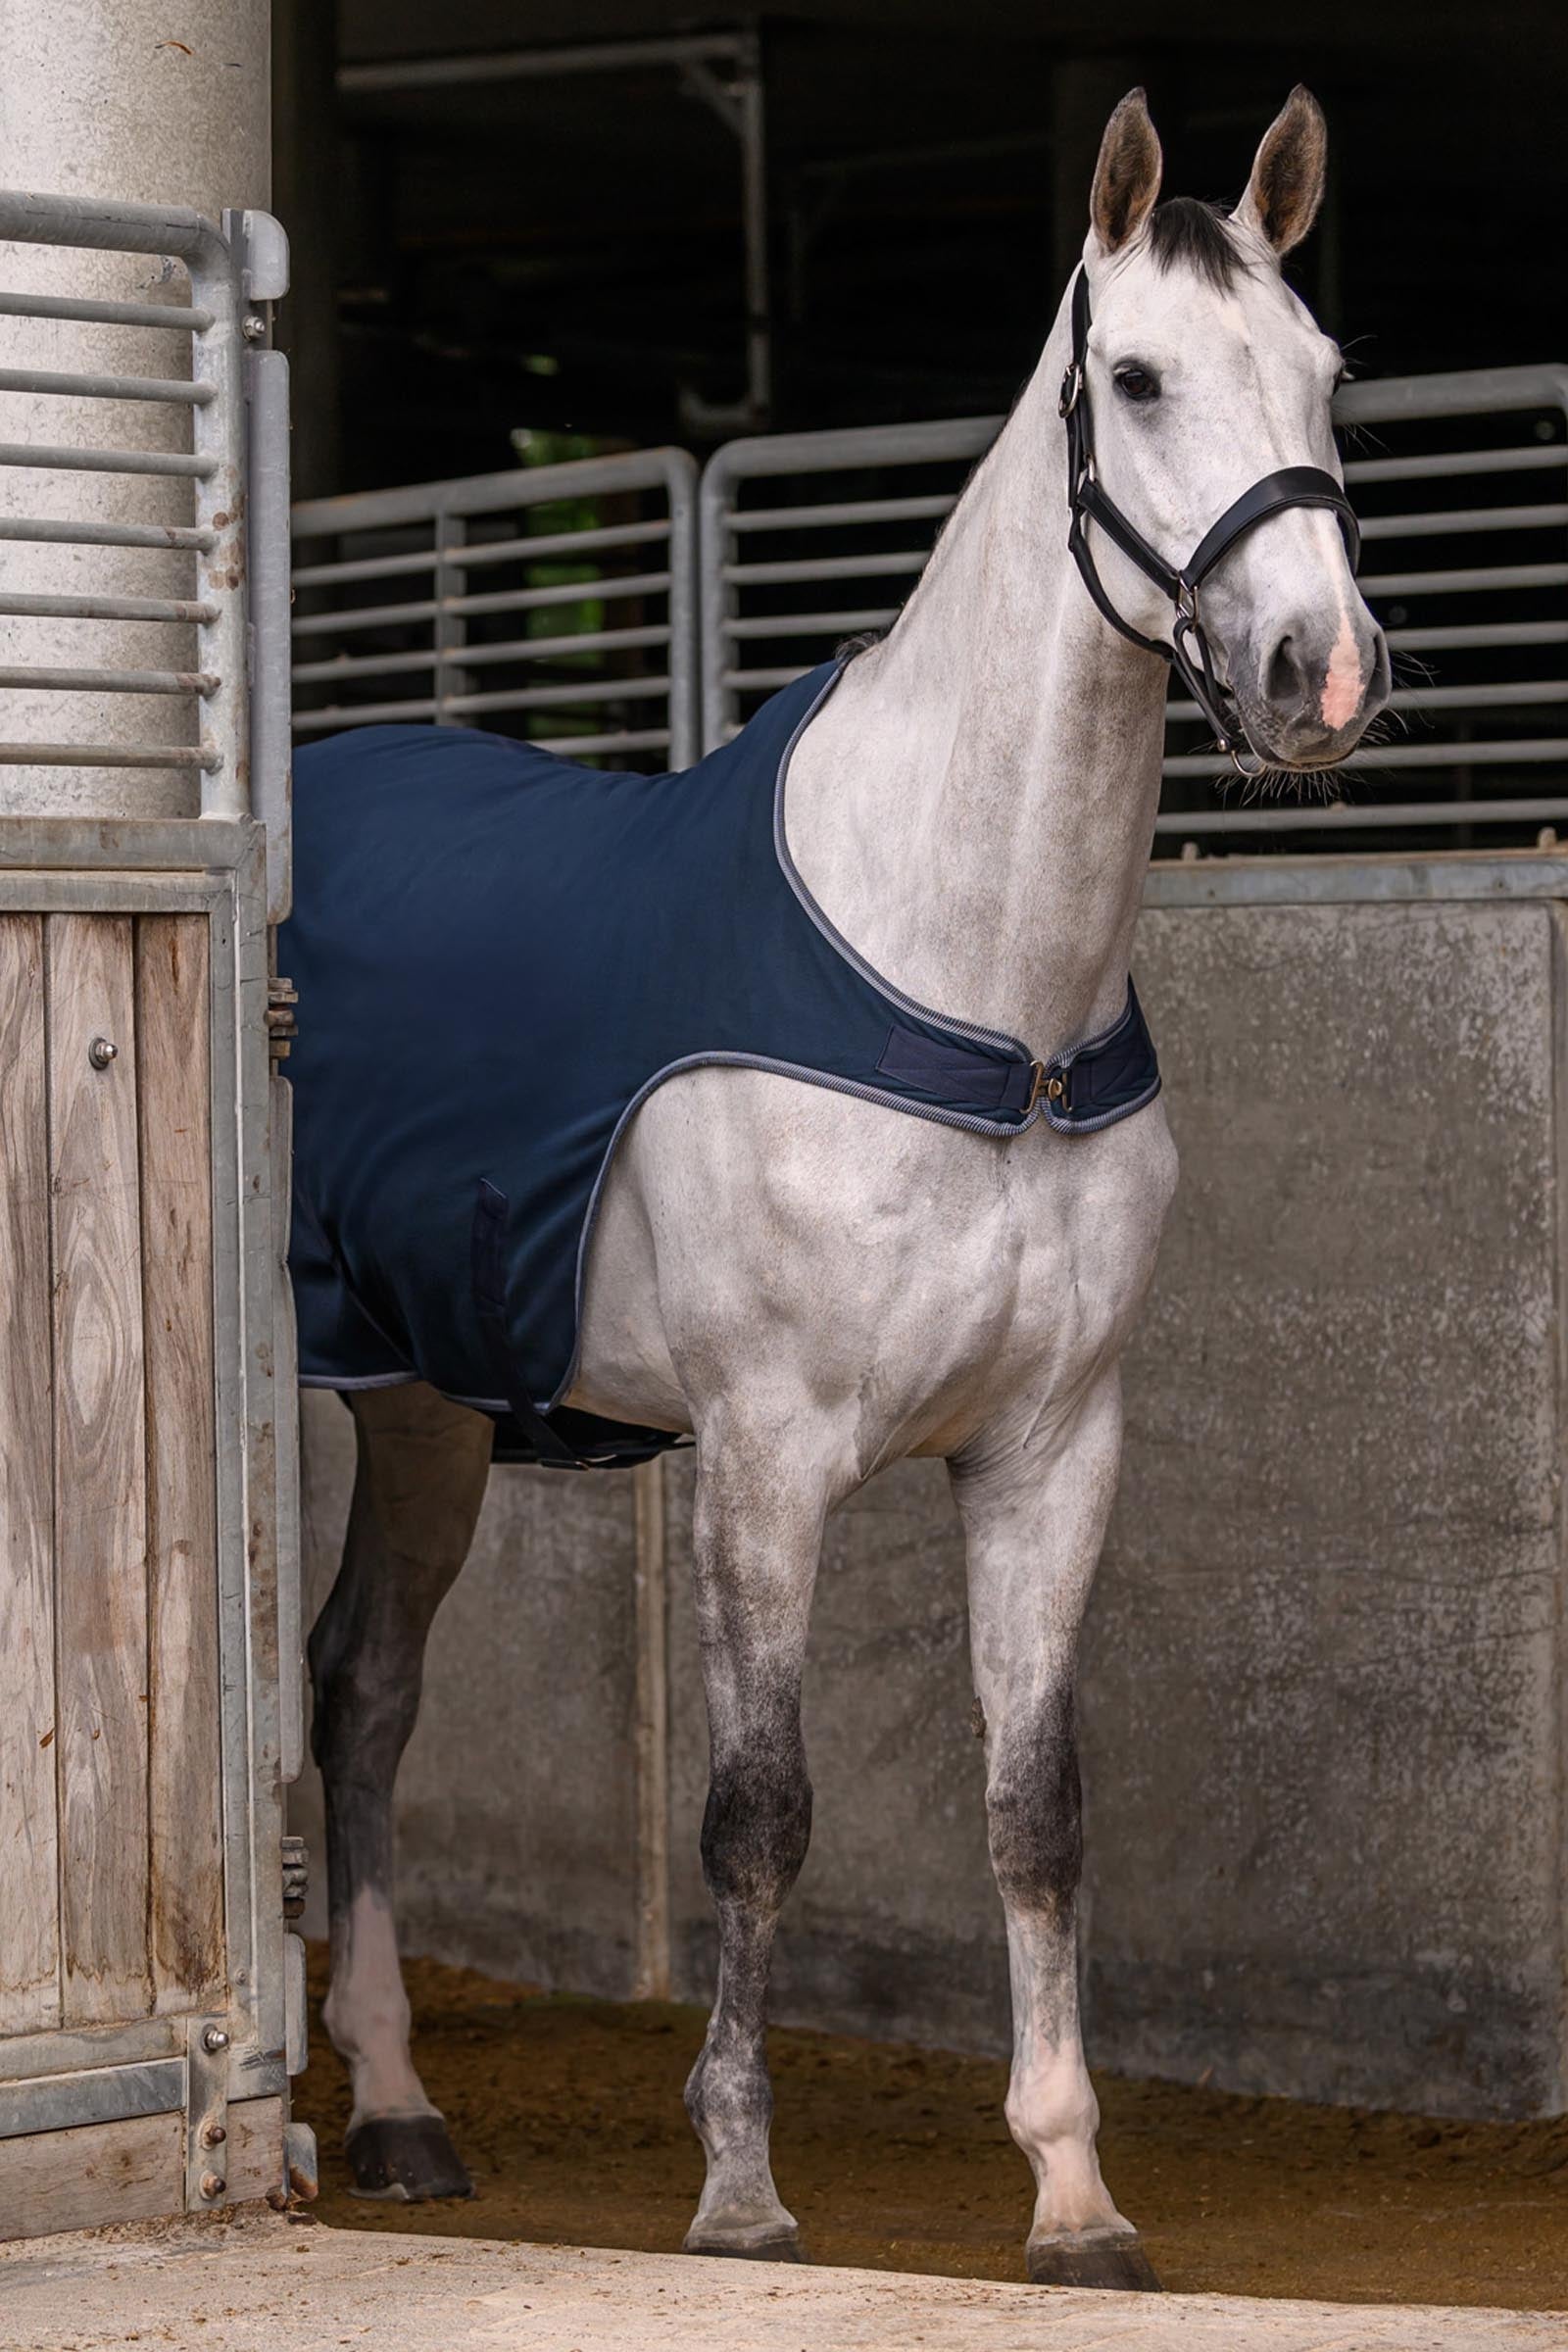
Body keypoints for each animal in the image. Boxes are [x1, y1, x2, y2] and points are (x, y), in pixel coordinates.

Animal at [295, 85, 1389, 2289]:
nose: (1320, 673)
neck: (983, 984)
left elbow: (1037, 1810)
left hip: (429, 1405)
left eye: (1326, 375)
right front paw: (736, 2188)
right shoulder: (768, 1451)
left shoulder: (1052, 1449)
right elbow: (756, 1808)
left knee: (365, 1691)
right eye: (1137, 380)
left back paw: (394, 2108)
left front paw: (1072, 2195)